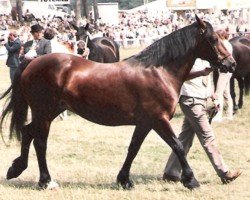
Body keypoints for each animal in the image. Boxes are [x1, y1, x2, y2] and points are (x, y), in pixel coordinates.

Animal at [0, 15, 234, 191]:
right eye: (213, 39)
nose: (230, 64)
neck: (158, 72)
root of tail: (33, 62)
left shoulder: (145, 122)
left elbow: (133, 148)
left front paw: (124, 179)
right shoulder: (159, 120)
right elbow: (177, 145)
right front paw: (191, 180)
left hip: (49, 112)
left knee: (28, 132)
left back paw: (17, 169)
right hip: (44, 113)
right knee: (40, 141)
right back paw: (46, 181)